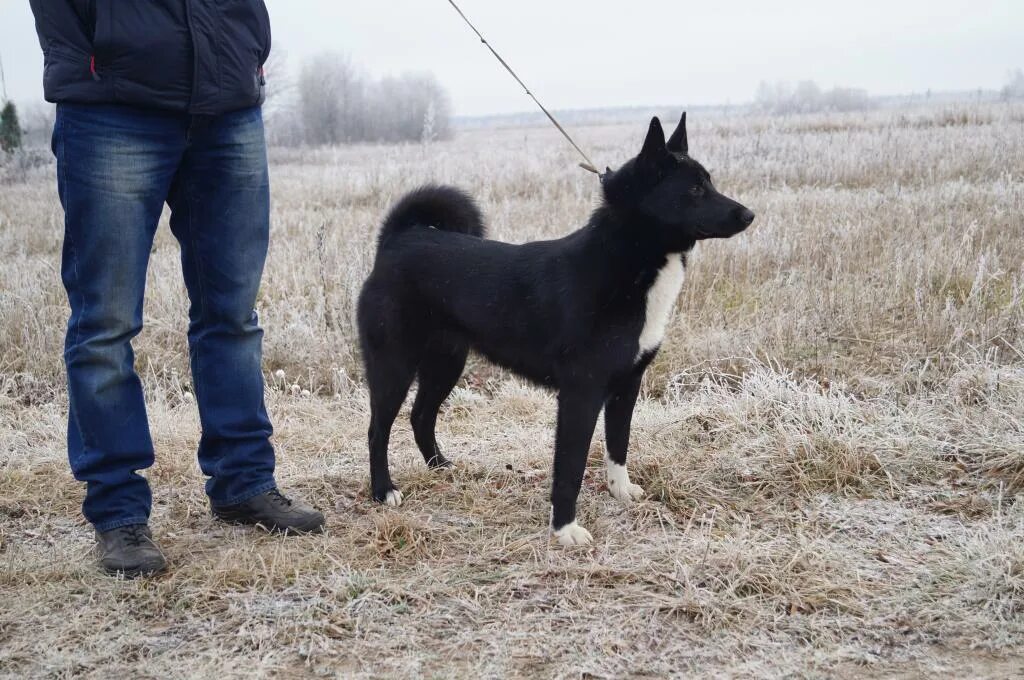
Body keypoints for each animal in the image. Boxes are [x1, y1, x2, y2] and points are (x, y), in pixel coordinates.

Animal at [358, 114, 753, 544]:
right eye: (695, 189)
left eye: (709, 182)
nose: (748, 215)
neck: (628, 258)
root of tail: (398, 240)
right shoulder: (581, 392)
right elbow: (570, 467)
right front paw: (565, 529)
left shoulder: (627, 386)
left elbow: (618, 445)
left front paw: (620, 491)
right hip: (393, 367)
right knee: (378, 430)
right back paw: (384, 491)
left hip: (446, 363)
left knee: (421, 415)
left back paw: (440, 466)